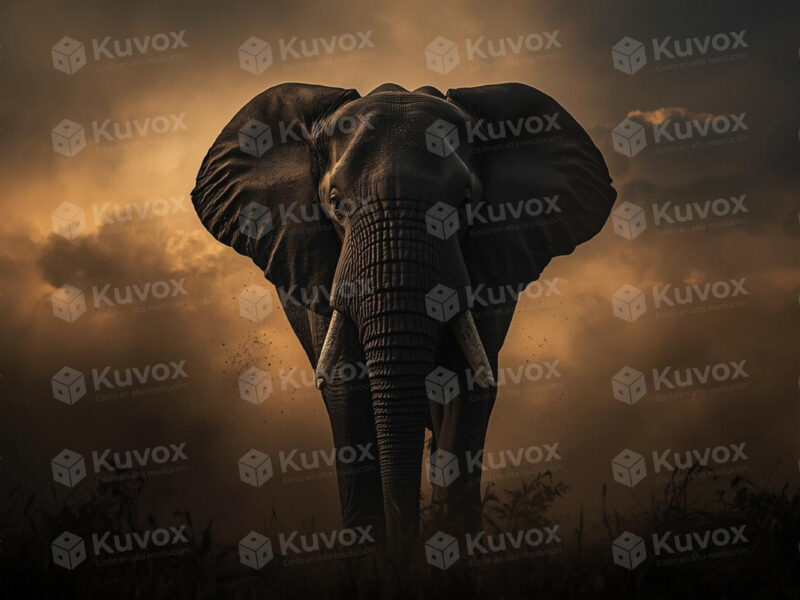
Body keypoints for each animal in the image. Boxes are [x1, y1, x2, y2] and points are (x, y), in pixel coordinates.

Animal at [191, 82, 616, 543]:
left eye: (465, 203)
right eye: (336, 203)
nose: (405, 546)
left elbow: (465, 388)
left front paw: (452, 545)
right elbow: (346, 392)